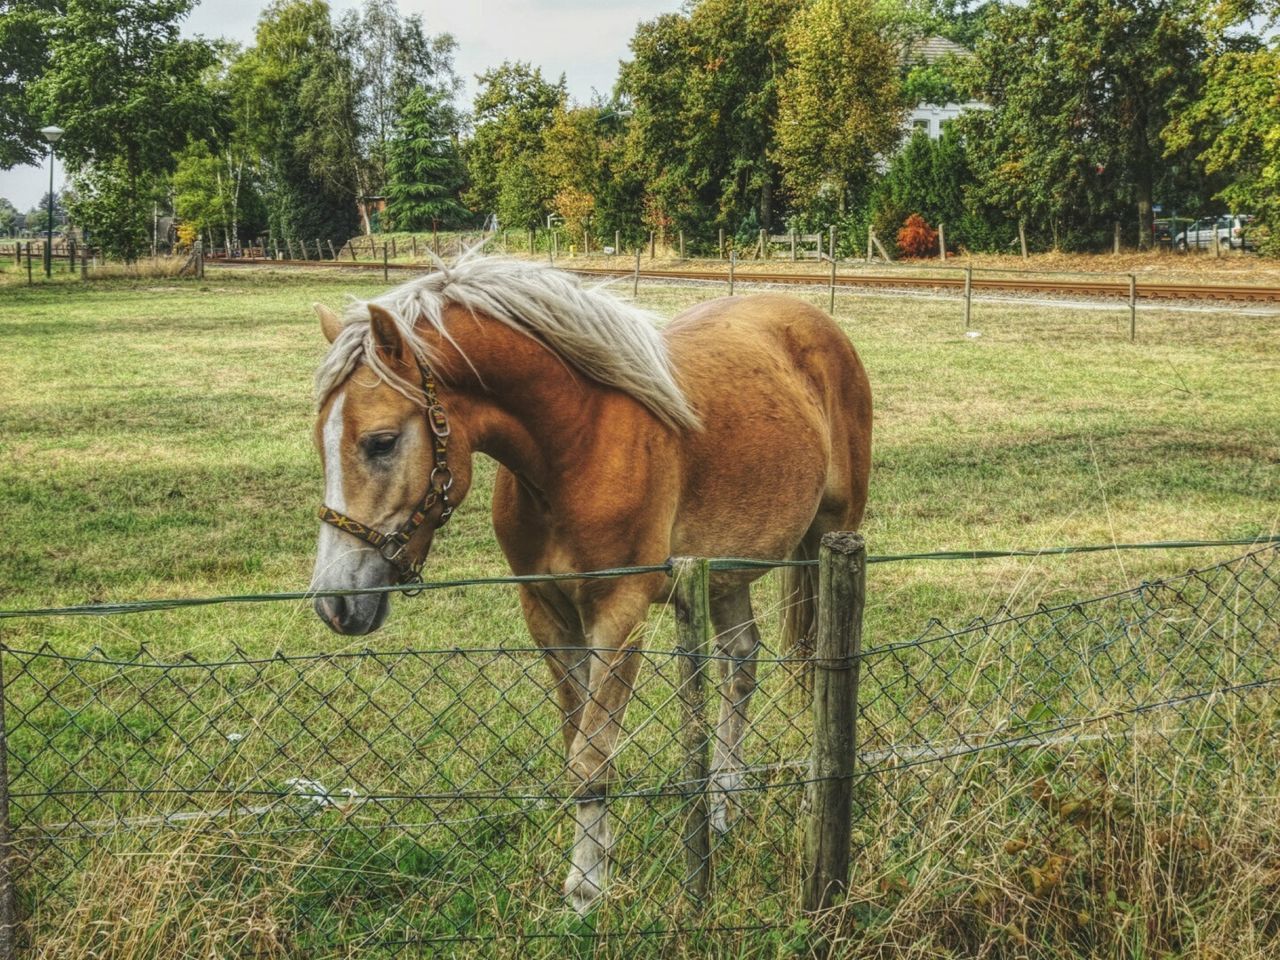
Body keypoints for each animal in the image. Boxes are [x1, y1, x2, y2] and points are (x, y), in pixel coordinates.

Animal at [308, 257, 870, 916]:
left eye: (381, 442)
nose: (335, 601)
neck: (576, 445)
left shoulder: (618, 617)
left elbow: (593, 758)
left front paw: (586, 888)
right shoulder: (550, 615)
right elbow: (575, 747)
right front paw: (586, 874)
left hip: (831, 537)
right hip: (727, 571)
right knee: (739, 662)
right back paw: (721, 806)